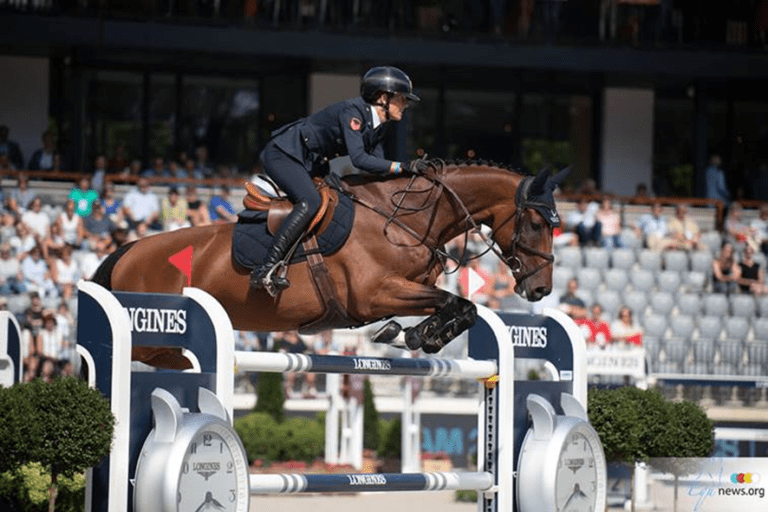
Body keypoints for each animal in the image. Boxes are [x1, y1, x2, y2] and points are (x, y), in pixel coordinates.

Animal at [92, 159, 567, 366]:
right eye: (537, 224)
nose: (541, 289)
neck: (404, 220)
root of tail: (129, 250)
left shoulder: (404, 289)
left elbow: (459, 306)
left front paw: (413, 335)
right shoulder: (374, 294)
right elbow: (458, 303)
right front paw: (419, 336)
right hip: (149, 332)